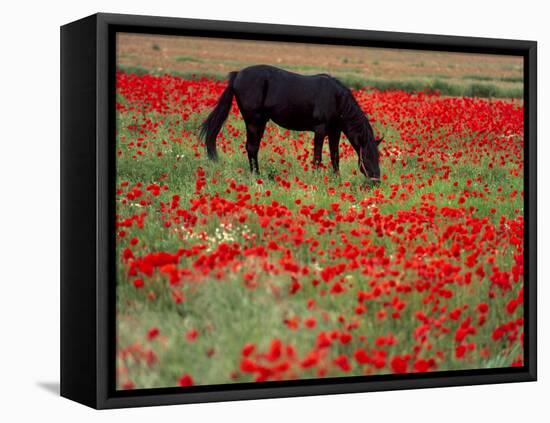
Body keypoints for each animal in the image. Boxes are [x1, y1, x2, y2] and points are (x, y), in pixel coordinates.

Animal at [199, 64, 384, 182]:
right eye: (367, 155)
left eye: (378, 156)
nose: (376, 181)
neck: (336, 98)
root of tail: (238, 75)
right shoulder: (320, 129)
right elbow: (317, 157)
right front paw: (317, 180)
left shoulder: (335, 131)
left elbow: (335, 156)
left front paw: (336, 180)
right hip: (253, 120)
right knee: (251, 147)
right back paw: (256, 176)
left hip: (260, 121)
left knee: (253, 147)